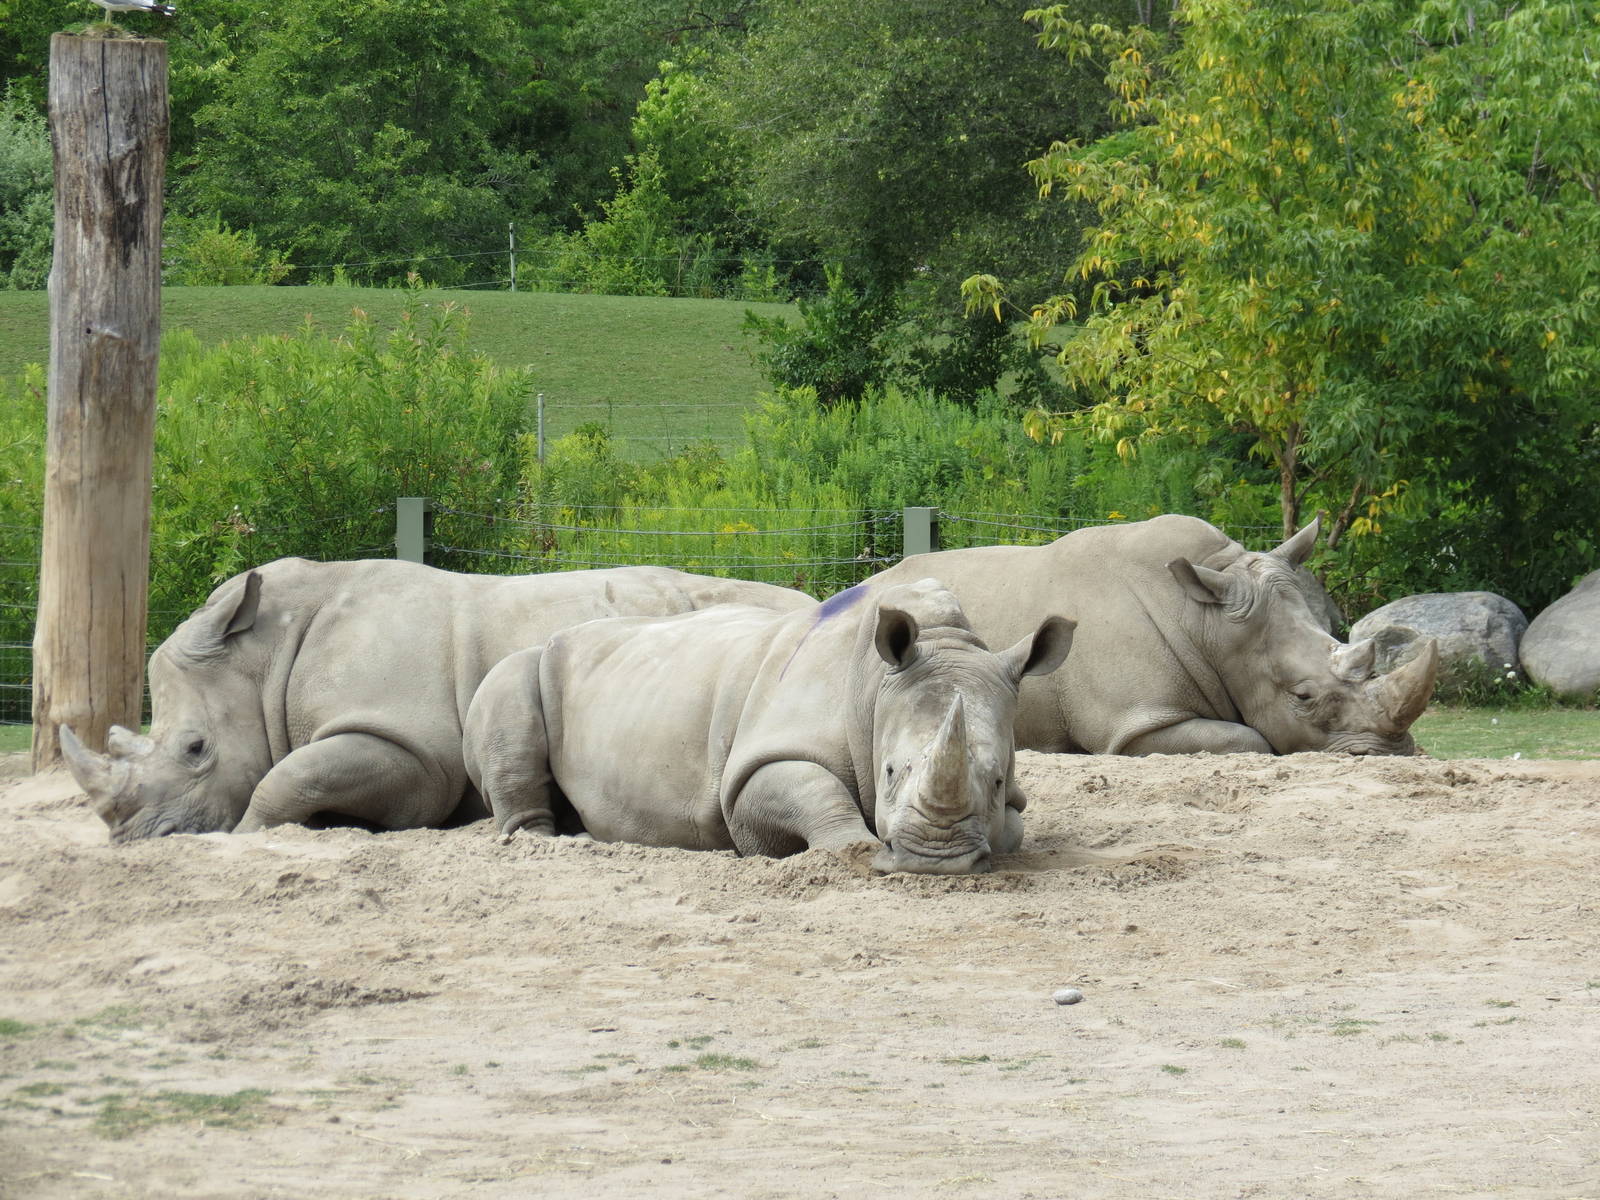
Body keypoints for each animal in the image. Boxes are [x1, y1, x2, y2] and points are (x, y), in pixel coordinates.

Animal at [59, 558, 813, 841]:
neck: (261, 658)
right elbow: (295, 772)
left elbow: (288, 776)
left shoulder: (414, 755)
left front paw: (248, 834)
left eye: (195, 748)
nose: (135, 842)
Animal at [462, 579, 1074, 874]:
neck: (874, 683)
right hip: (525, 663)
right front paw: (855, 849)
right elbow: (809, 788)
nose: (935, 862)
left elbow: (1014, 828)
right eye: (889, 771)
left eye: (997, 780)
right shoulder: (757, 763)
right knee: (509, 690)